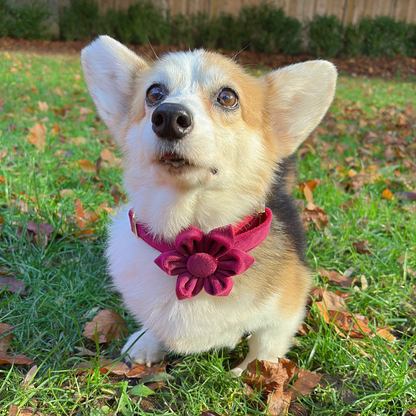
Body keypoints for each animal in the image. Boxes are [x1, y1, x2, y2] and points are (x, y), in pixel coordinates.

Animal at [81, 35, 338, 374]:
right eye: (154, 93)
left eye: (228, 97)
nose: (169, 117)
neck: (192, 237)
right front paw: (147, 342)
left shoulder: (287, 306)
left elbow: (266, 343)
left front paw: (255, 373)